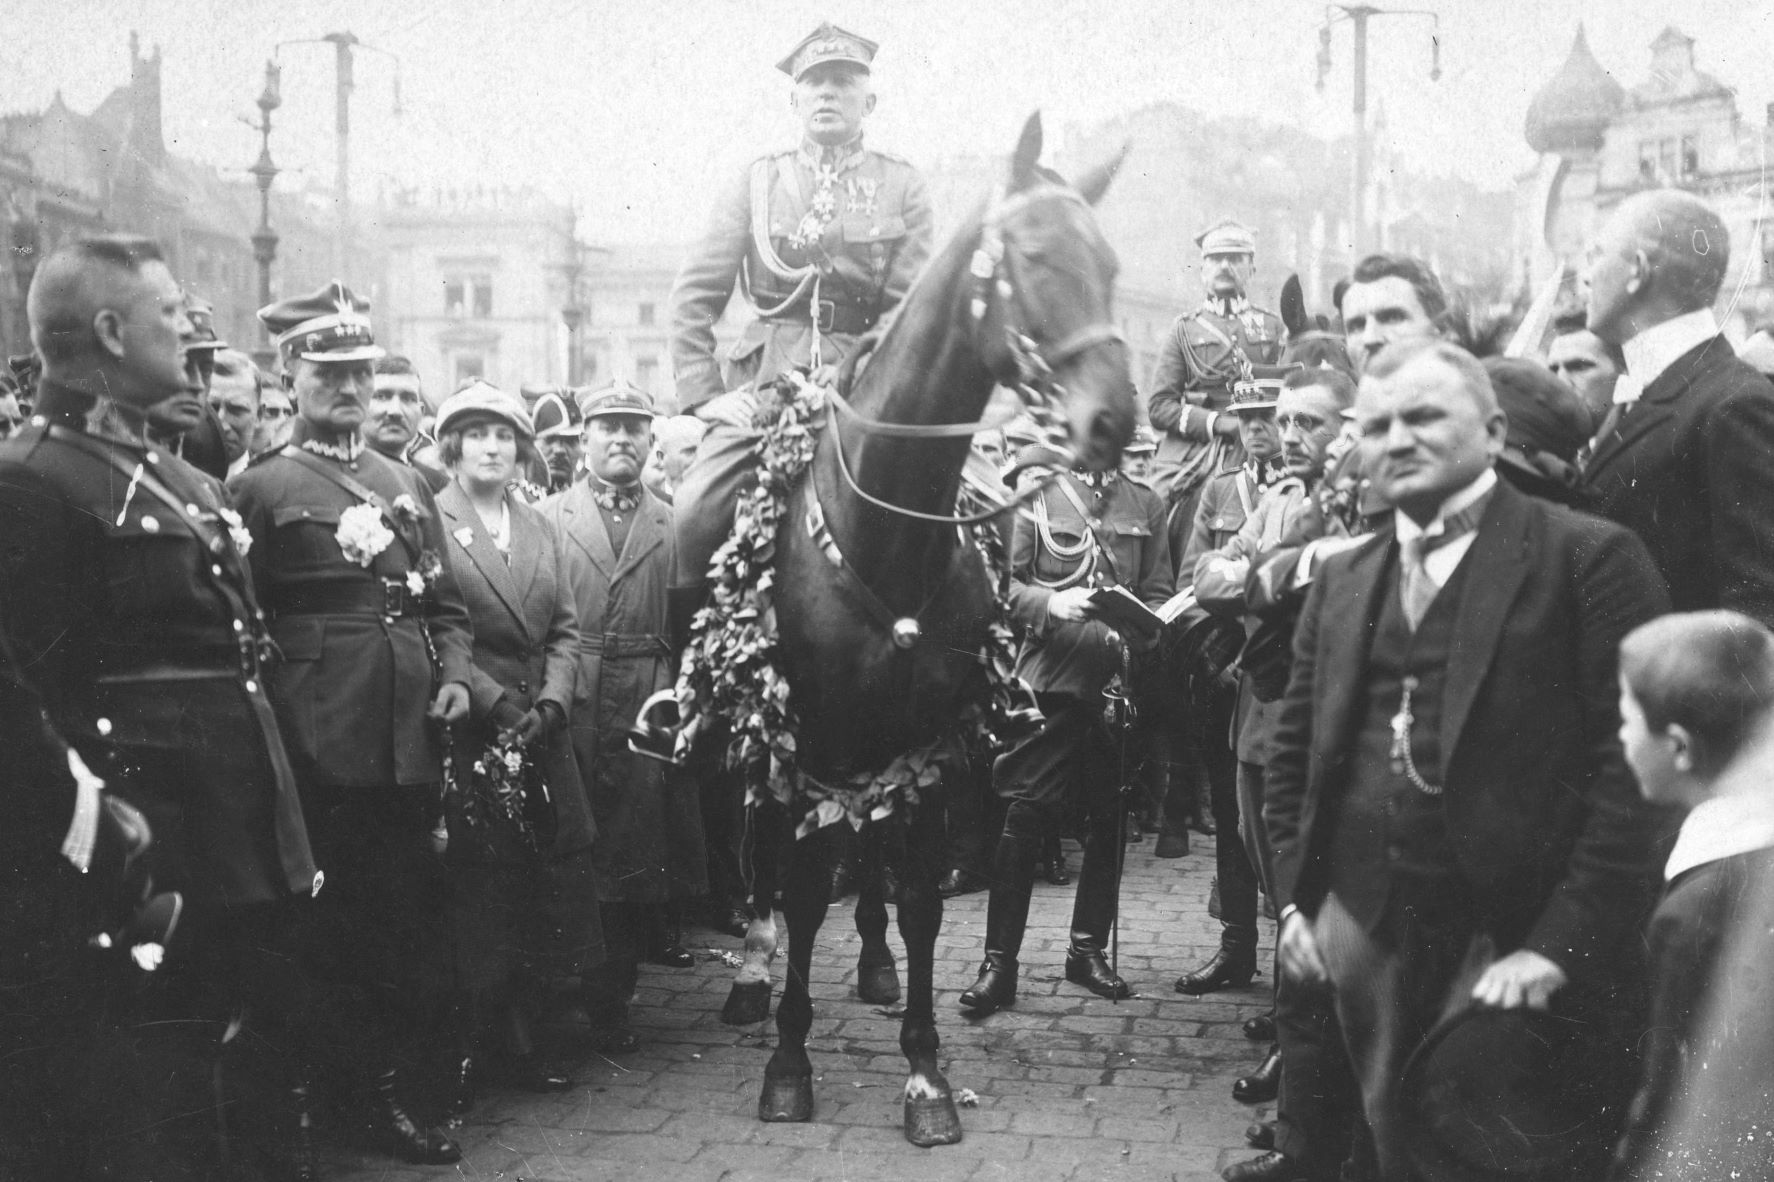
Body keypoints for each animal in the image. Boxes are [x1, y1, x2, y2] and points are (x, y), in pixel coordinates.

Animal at [698, 112, 1128, 1142]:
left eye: (1111, 265)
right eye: (1035, 257)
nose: (1116, 418)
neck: (885, 525)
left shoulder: (929, 738)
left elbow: (924, 898)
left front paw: (927, 1072)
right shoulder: (808, 733)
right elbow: (803, 888)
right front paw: (788, 1059)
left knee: (871, 852)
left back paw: (875, 966)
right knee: (767, 855)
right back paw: (754, 972)